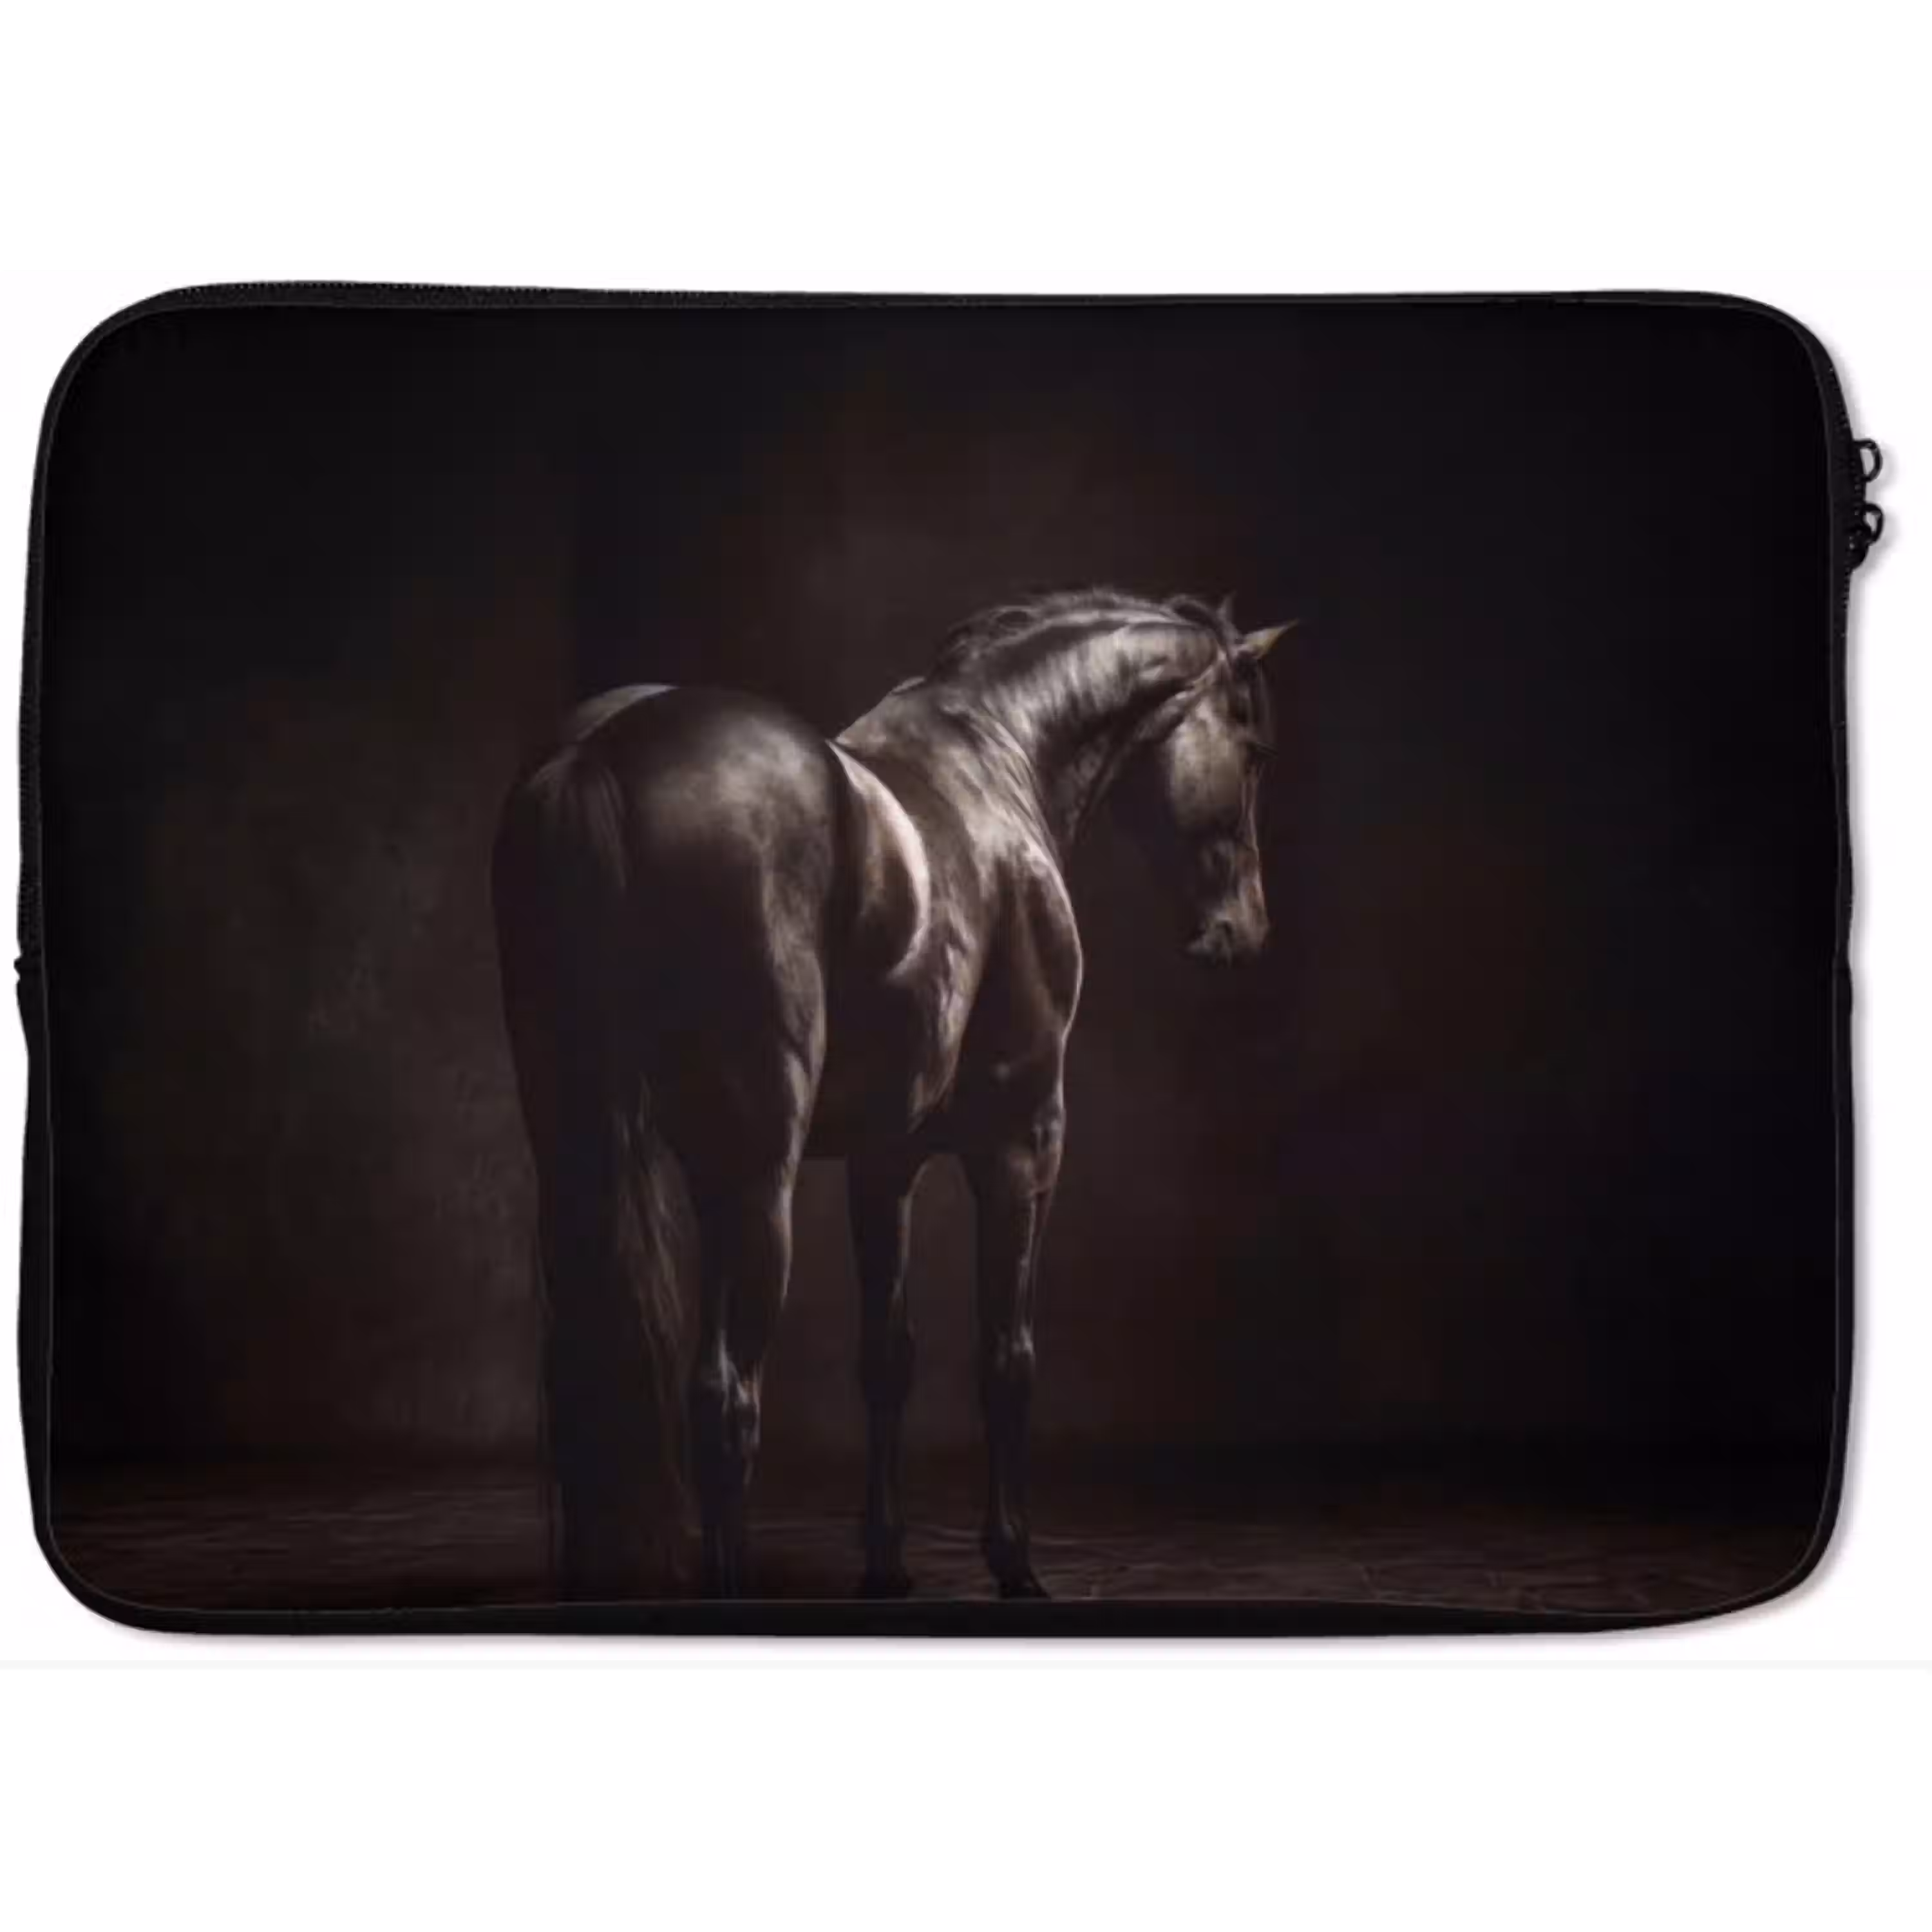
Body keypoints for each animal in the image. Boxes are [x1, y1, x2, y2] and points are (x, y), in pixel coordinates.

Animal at [491, 588, 1287, 1601]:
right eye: (1252, 748)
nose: (1243, 931)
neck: (997, 752)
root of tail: (602, 751)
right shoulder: (1023, 1141)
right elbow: (1006, 1358)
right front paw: (1014, 1563)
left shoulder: (885, 1160)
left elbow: (888, 1360)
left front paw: (887, 1561)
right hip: (754, 1178)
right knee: (726, 1398)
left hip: (591, 1148)